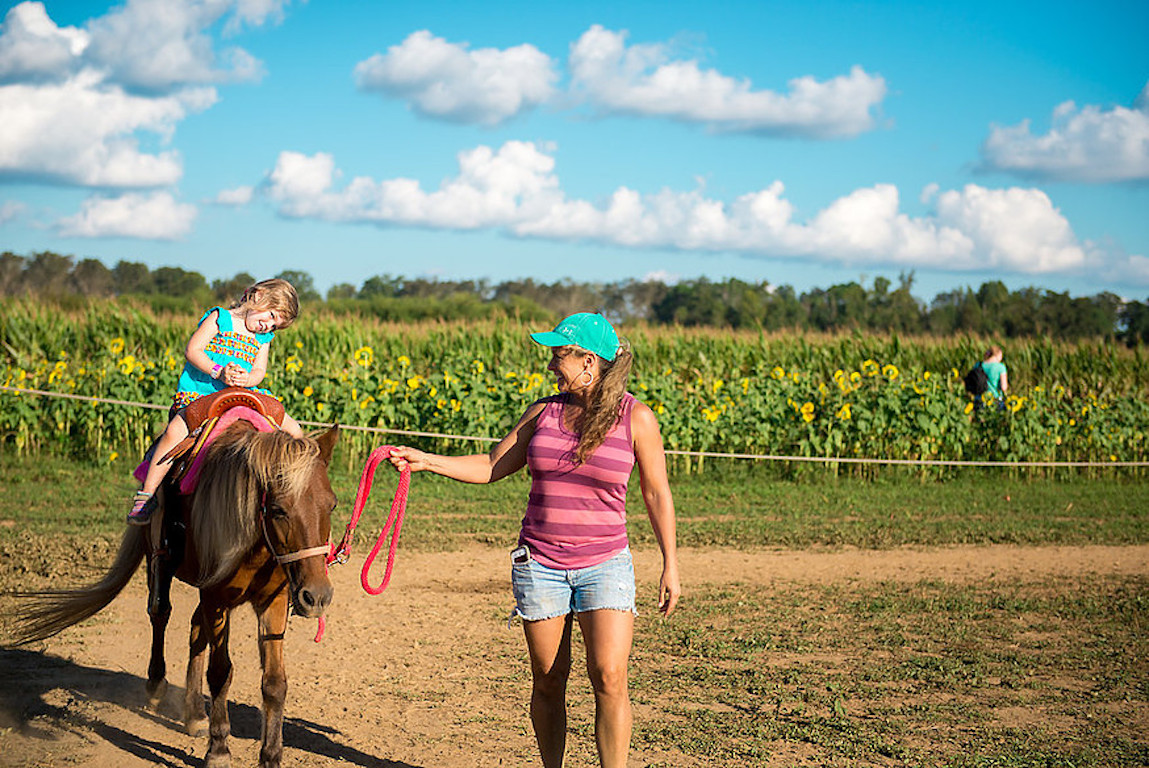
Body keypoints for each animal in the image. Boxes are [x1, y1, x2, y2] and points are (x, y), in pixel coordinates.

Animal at [13, 423, 337, 763]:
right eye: (278, 510)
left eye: (331, 504)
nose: (317, 596)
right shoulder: (216, 599)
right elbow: (220, 672)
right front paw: (218, 748)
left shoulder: (273, 602)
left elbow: (274, 682)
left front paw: (271, 755)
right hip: (160, 563)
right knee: (160, 613)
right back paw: (157, 683)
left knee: (195, 630)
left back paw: (194, 712)